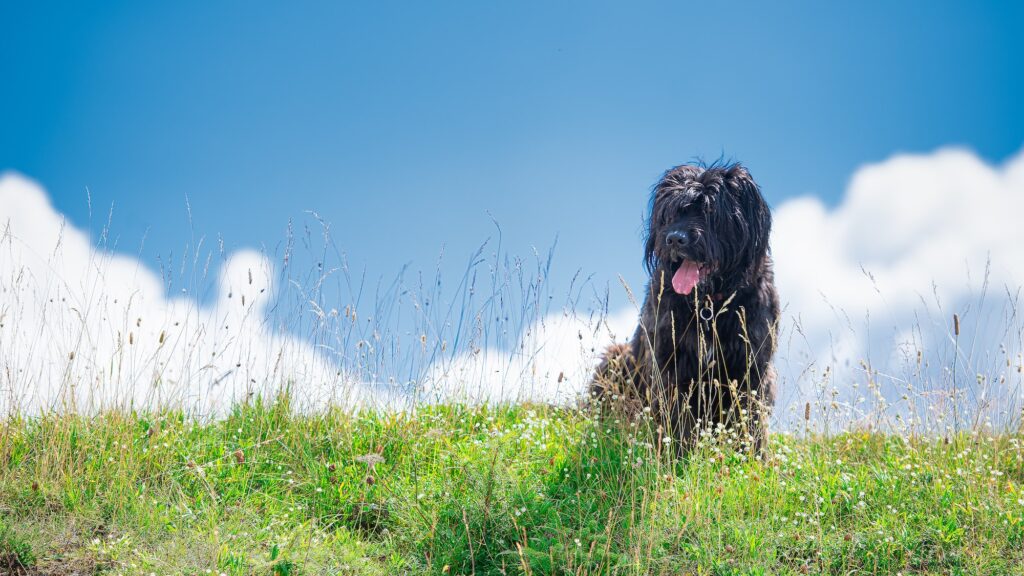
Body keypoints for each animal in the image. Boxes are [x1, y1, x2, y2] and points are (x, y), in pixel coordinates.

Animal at [593, 161, 774, 453]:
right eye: (672, 212)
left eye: (710, 211)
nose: (675, 239)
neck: (709, 305)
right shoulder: (670, 365)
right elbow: (678, 421)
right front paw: (678, 455)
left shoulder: (751, 369)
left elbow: (750, 420)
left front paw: (753, 458)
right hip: (615, 358)